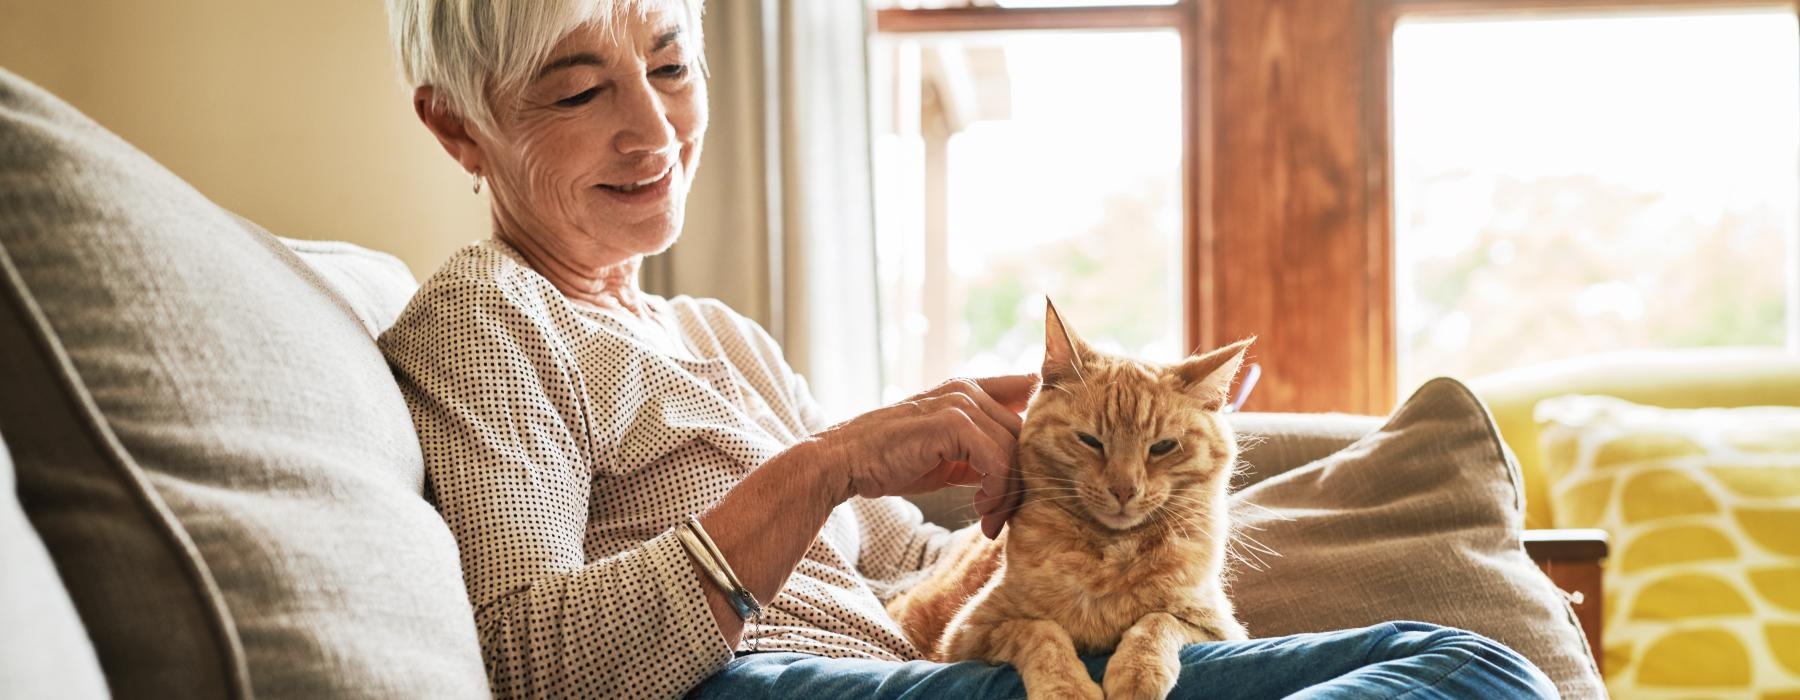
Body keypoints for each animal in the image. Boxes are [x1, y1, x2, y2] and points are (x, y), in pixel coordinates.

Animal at [885, 300, 1252, 698]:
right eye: (1090, 441)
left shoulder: (1219, 627)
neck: (1109, 553)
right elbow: (1040, 630)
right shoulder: (967, 636)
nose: (1124, 489)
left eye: (1163, 447)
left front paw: (1136, 672)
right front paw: (1067, 686)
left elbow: (1159, 620)